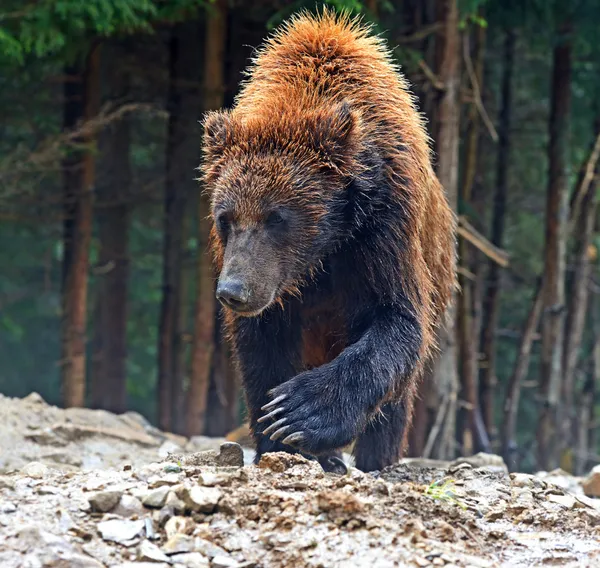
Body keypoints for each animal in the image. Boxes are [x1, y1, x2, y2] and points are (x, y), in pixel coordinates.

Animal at [199, 8, 458, 472]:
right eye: (225, 218)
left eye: (276, 217)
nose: (233, 291)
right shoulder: (275, 289)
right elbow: (261, 347)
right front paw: (278, 436)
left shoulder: (383, 225)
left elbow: (396, 317)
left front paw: (300, 412)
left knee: (397, 399)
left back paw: (378, 458)